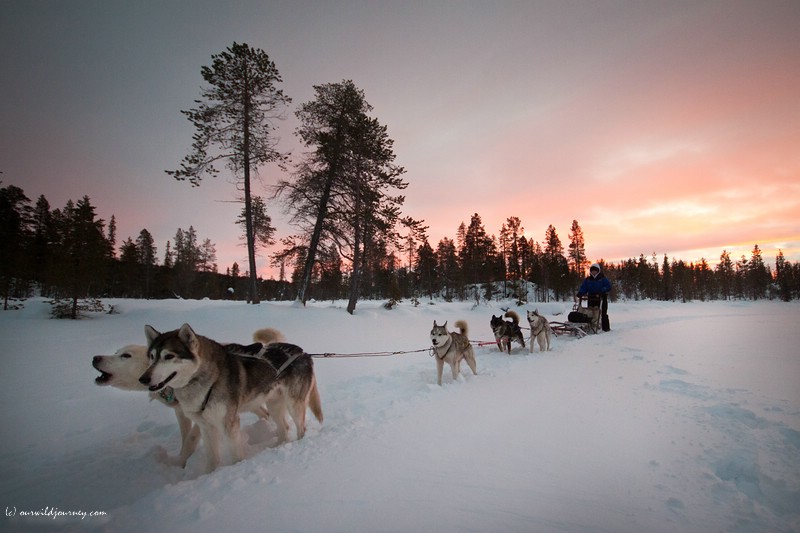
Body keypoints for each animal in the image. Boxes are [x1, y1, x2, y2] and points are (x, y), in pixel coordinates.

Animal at [92, 328, 284, 466]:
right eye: (116, 352)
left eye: (126, 355)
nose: (95, 358)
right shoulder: (182, 413)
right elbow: (185, 437)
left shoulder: (207, 418)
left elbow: (191, 440)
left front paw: (180, 462)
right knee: (264, 413)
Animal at [138, 324, 322, 470]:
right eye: (152, 356)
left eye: (169, 356)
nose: (143, 379)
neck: (208, 380)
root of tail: (304, 353)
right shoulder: (206, 426)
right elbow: (212, 459)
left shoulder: (229, 423)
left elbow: (236, 456)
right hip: (274, 405)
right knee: (284, 429)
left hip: (294, 405)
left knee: (300, 428)